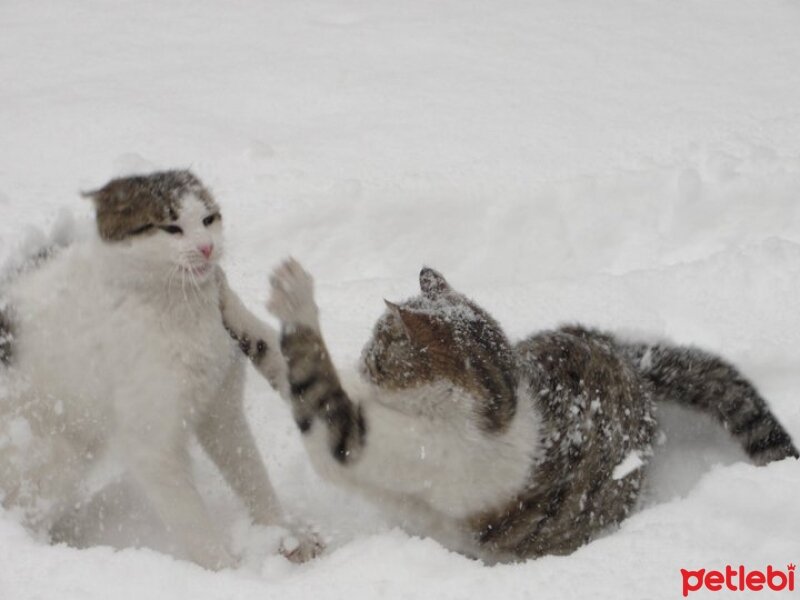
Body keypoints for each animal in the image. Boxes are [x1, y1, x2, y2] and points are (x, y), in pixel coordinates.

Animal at [0, 171, 318, 568]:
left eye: (208, 219)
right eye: (171, 227)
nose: (207, 248)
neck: (179, 305)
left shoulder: (220, 406)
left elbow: (251, 476)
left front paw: (284, 536)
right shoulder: (151, 440)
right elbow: (192, 521)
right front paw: (227, 573)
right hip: (51, 457)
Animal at [225, 260, 800, 564]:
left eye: (381, 347)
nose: (363, 363)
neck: (498, 406)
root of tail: (626, 361)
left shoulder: (354, 440)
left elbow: (304, 369)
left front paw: (292, 292)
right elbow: (271, 352)